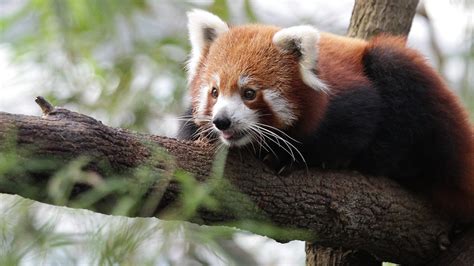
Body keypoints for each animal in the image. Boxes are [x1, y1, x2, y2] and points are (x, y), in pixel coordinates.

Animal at [179, 8, 474, 220]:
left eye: (249, 93)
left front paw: (288, 157)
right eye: (214, 92)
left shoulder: (351, 99)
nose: (222, 121)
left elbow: (355, 131)